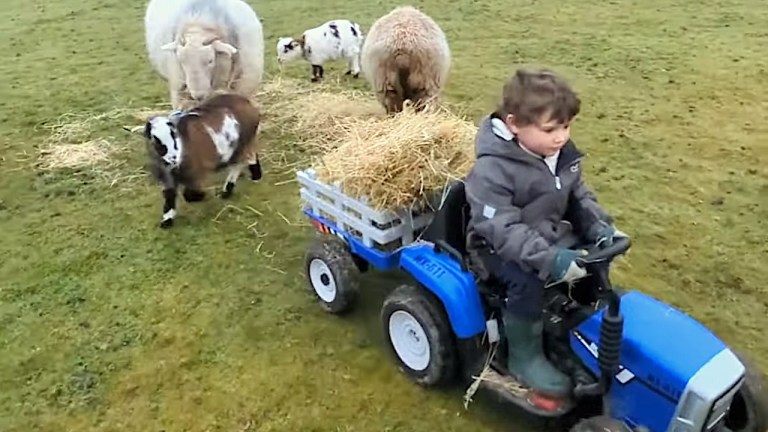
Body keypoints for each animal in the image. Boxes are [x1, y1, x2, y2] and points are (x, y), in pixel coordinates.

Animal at [143, 92, 264, 228]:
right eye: (155, 140)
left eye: (174, 135)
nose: (173, 159)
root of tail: (245, 101)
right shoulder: (166, 177)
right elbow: (169, 196)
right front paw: (167, 220)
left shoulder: (198, 171)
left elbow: (189, 195)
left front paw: (203, 196)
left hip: (244, 142)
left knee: (240, 162)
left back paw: (236, 185)